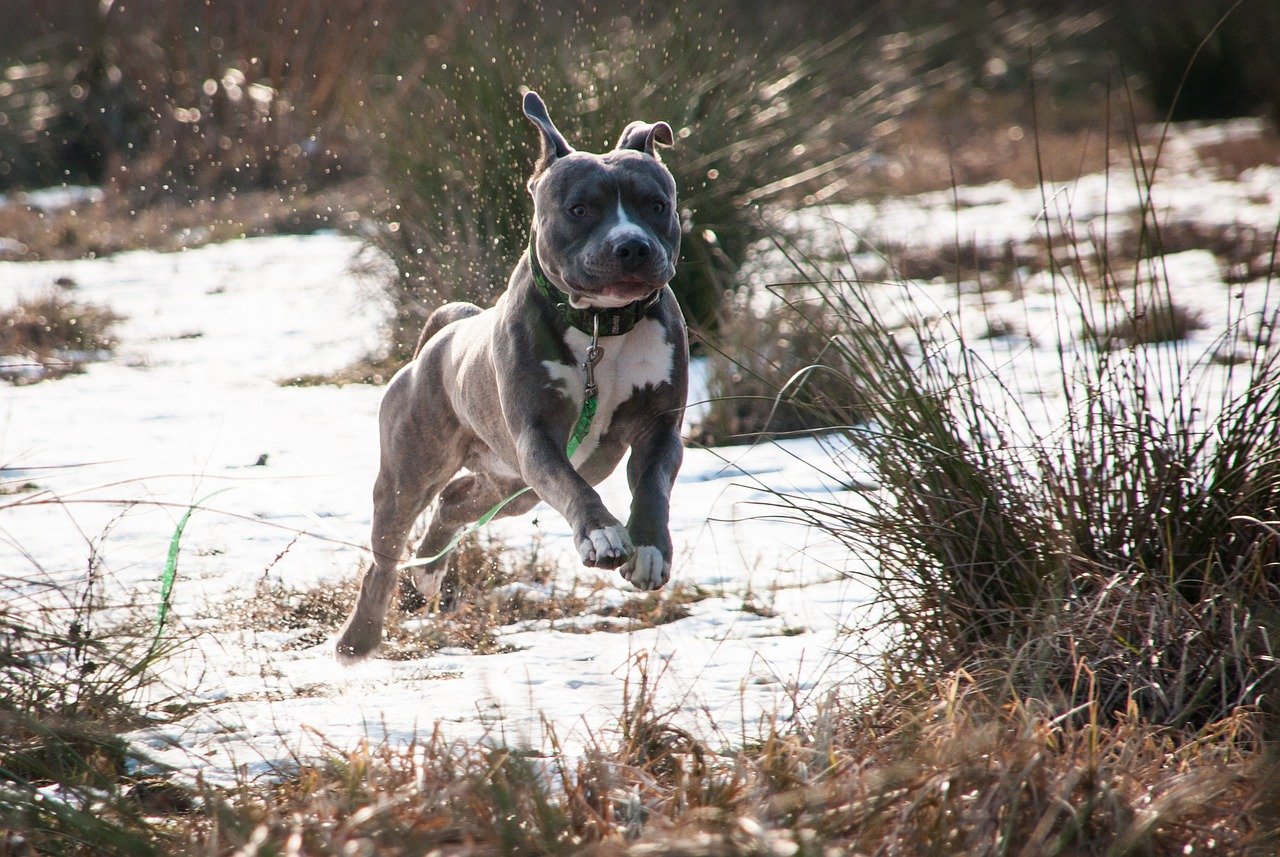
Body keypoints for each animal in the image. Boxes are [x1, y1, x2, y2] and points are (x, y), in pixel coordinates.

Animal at [335, 90, 686, 665]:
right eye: (579, 209)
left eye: (656, 205)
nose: (632, 245)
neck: (600, 325)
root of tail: (442, 336)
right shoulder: (538, 437)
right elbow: (571, 488)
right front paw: (602, 535)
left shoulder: (661, 428)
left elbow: (654, 485)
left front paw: (651, 548)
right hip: (412, 472)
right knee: (384, 557)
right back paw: (359, 637)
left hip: (514, 485)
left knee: (456, 501)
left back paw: (430, 571)